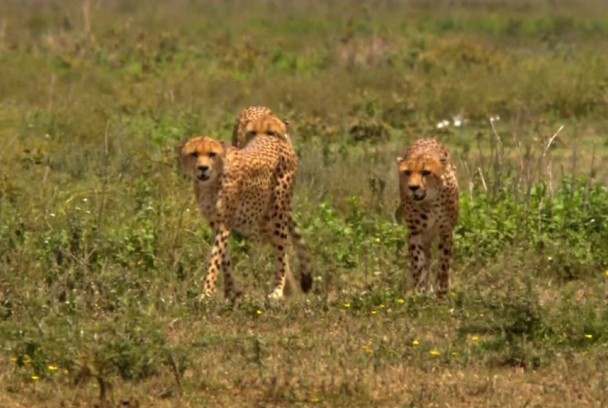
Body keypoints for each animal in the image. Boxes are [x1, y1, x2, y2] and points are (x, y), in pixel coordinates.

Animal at [179, 113, 314, 298]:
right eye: (194, 154)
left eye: (212, 154)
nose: (203, 168)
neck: (211, 182)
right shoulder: (215, 223)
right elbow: (224, 258)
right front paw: (231, 292)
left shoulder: (224, 223)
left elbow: (215, 260)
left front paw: (206, 294)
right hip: (262, 219)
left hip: (277, 214)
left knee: (281, 251)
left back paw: (278, 291)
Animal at [396, 139, 458, 298]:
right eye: (407, 172)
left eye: (426, 172)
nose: (413, 187)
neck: (430, 201)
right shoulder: (415, 232)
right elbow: (418, 262)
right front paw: (420, 291)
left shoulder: (446, 231)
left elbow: (444, 263)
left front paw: (442, 292)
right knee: (427, 258)